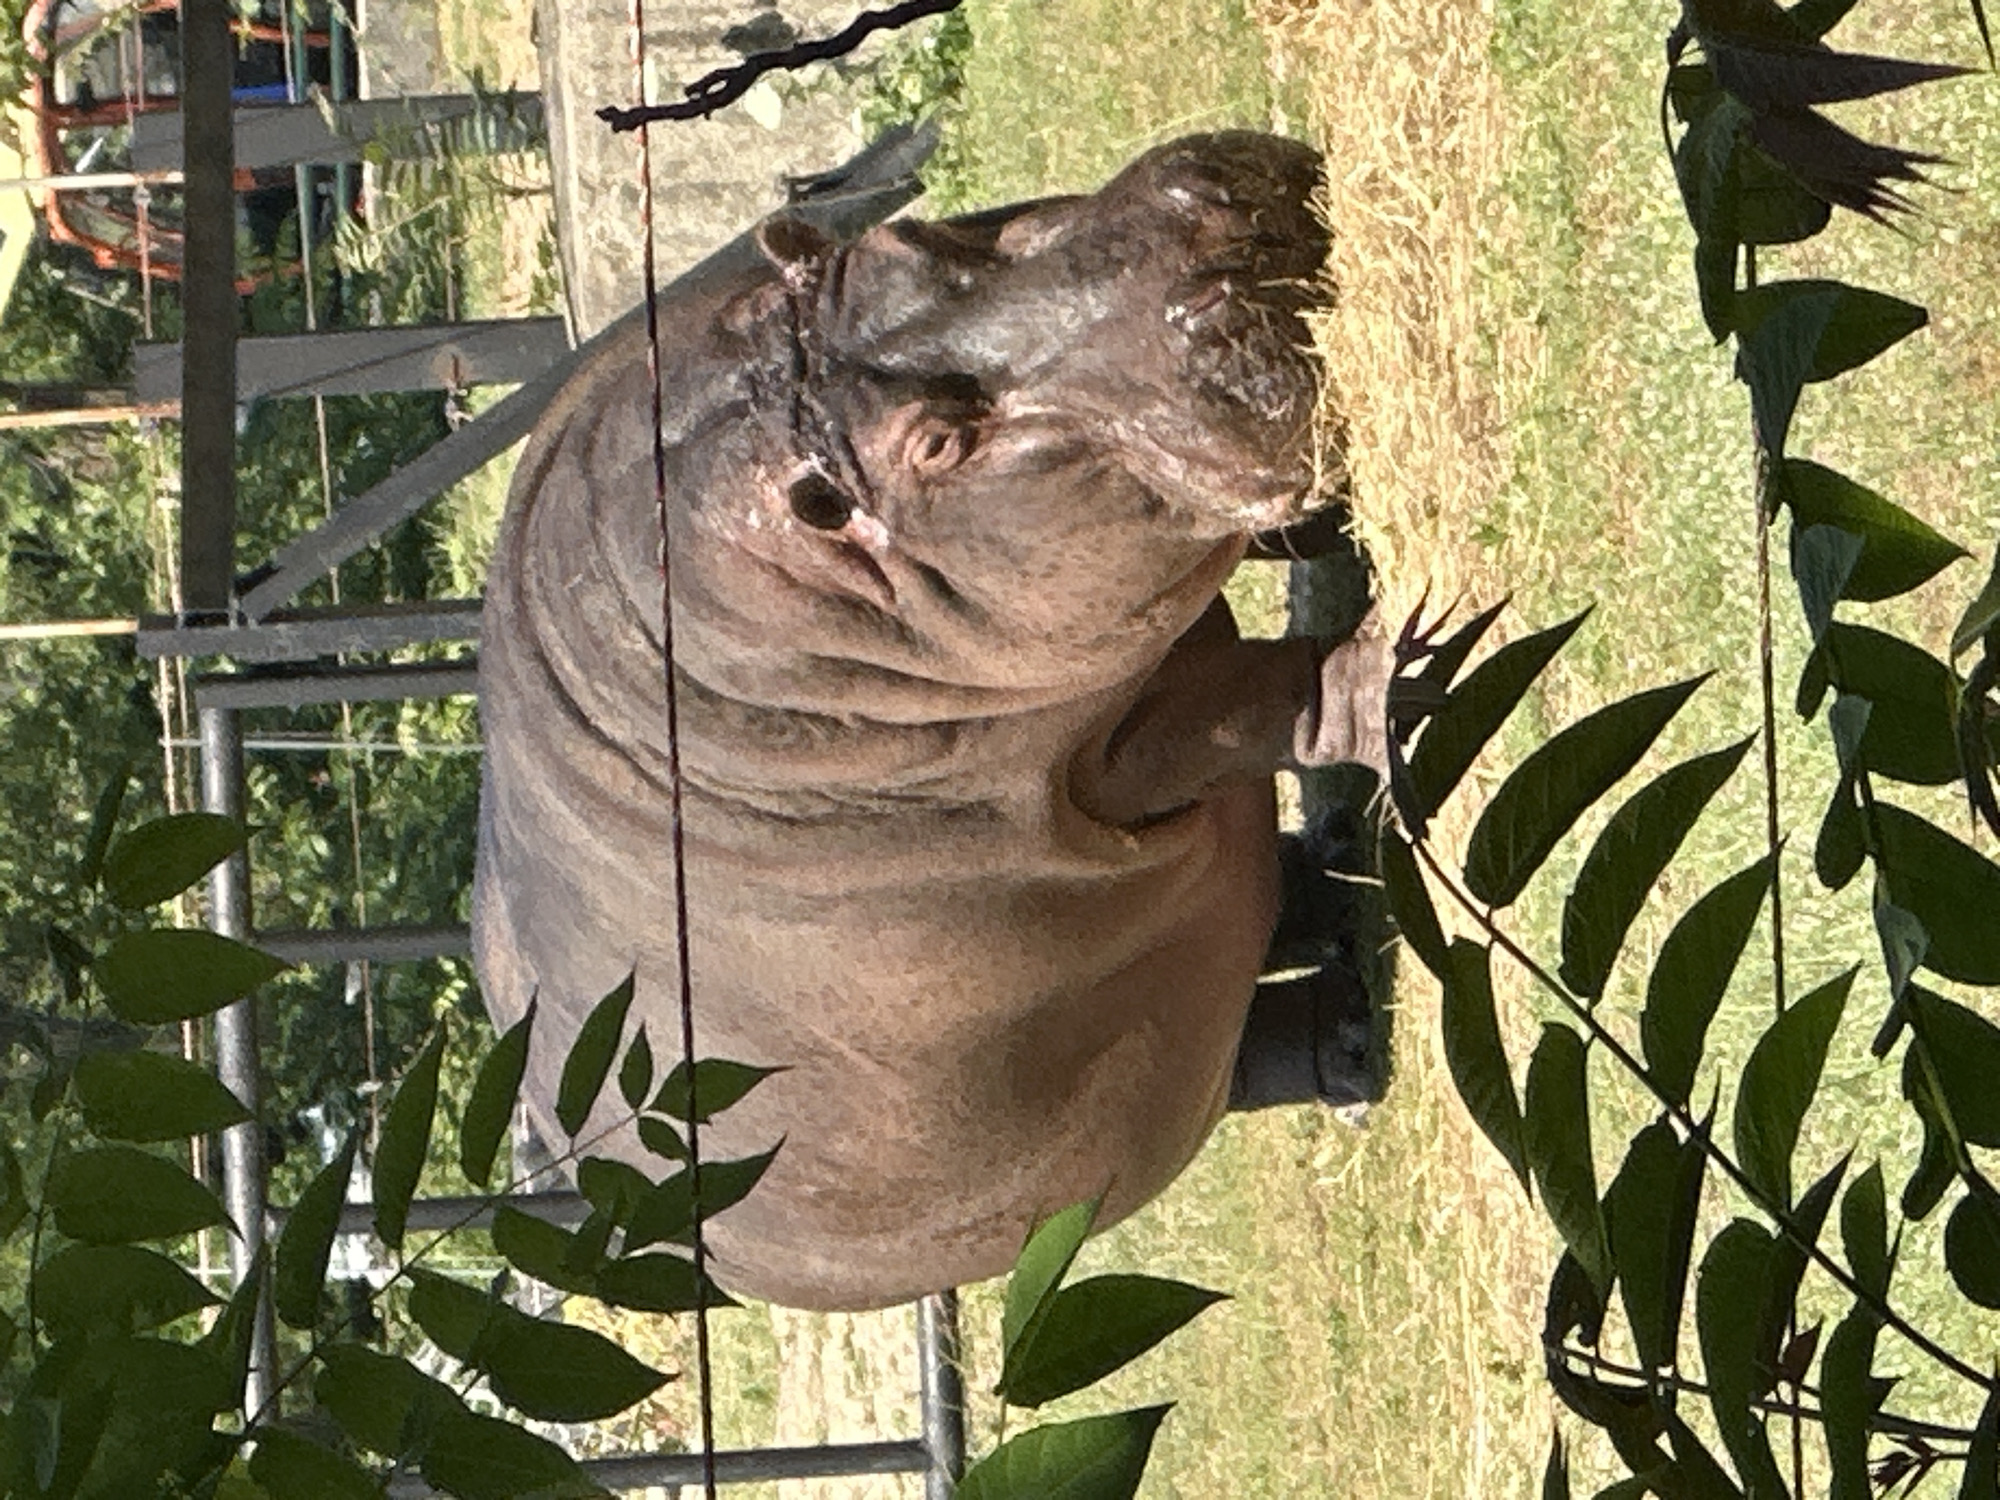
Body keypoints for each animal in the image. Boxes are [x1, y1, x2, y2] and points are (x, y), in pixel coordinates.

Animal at [472, 131, 1387, 1311]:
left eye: (908, 236)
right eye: (941, 445)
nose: (1211, 239)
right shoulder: (1097, 747)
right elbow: (1272, 701)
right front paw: (1391, 671)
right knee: (1250, 1046)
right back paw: (1354, 1036)